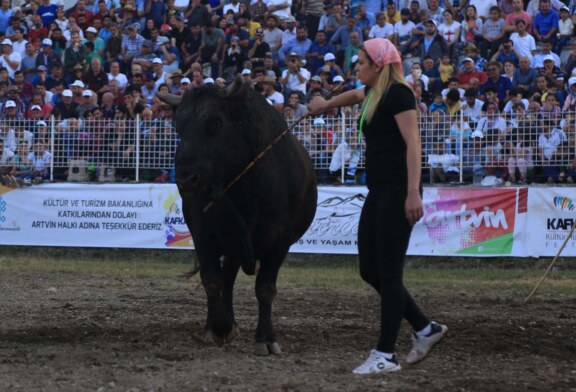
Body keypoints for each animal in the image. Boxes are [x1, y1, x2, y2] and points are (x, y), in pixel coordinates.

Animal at [158, 76, 320, 356]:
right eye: (179, 127)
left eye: (215, 123)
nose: (186, 179)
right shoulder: (203, 234)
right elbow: (213, 281)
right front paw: (219, 326)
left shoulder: (280, 242)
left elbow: (265, 288)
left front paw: (265, 338)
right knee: (226, 279)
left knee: (231, 277)